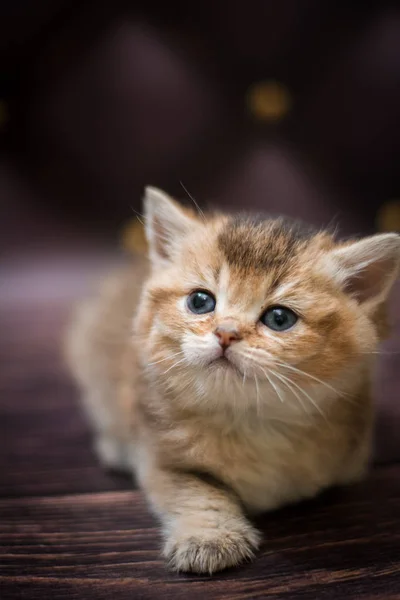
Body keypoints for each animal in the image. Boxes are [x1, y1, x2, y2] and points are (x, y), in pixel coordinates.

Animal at [65, 188, 400, 572]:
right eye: (200, 301)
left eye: (280, 318)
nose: (226, 333)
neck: (251, 419)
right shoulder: (157, 449)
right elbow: (192, 489)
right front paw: (210, 536)